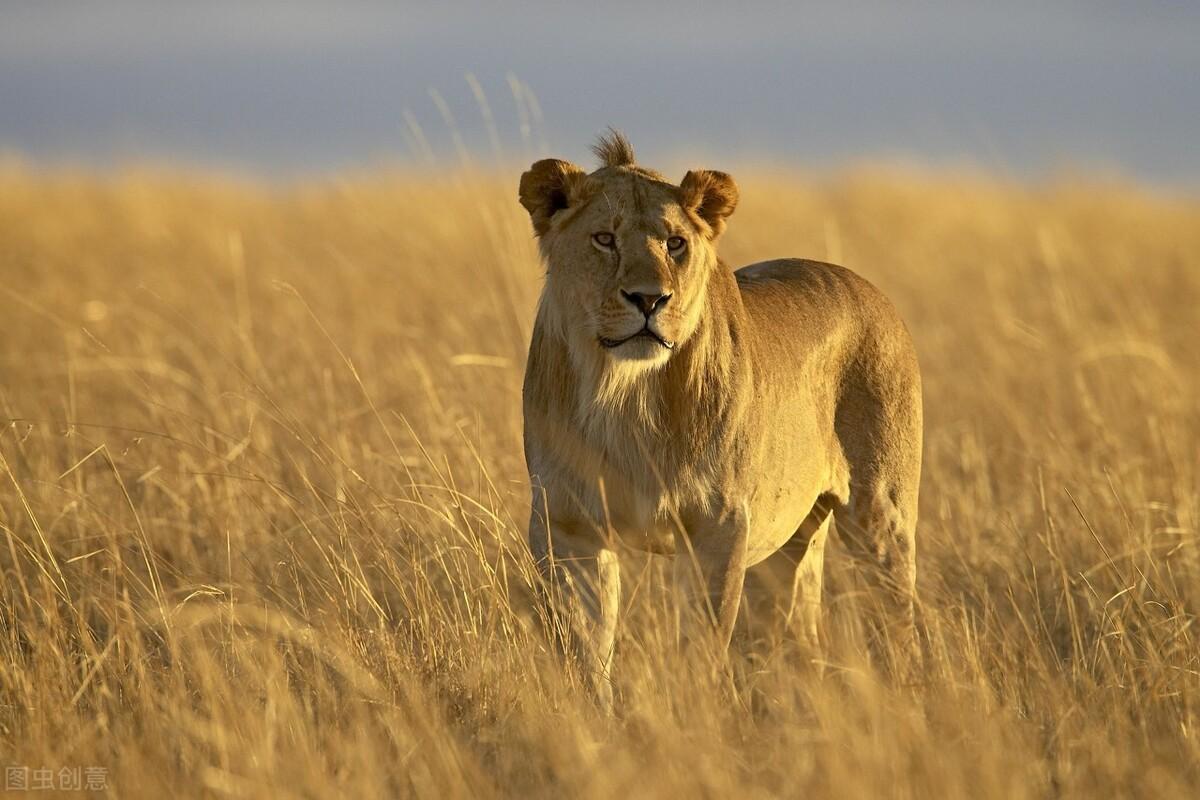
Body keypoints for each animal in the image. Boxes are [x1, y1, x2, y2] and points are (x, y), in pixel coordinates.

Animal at [520, 130, 921, 705]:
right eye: (604, 239)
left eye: (675, 244)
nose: (649, 299)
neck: (623, 394)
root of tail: (873, 292)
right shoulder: (567, 524)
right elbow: (585, 646)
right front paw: (593, 716)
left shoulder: (718, 524)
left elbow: (702, 648)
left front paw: (697, 714)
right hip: (785, 547)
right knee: (799, 635)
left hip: (880, 517)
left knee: (896, 626)